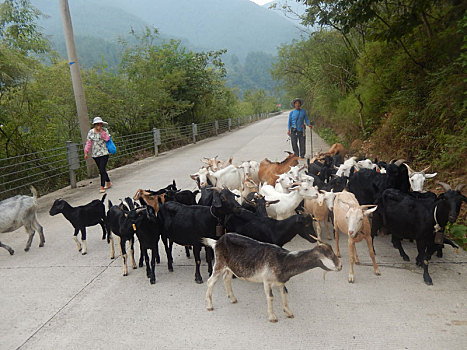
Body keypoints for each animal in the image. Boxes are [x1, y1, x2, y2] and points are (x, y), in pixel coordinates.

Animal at [203, 232, 342, 322]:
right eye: (329, 254)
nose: (340, 266)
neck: (283, 260)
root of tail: (217, 242)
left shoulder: (281, 282)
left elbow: (284, 293)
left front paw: (289, 312)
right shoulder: (267, 281)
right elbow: (270, 297)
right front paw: (272, 317)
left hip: (230, 267)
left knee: (226, 278)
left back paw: (232, 298)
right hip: (219, 263)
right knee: (210, 281)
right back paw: (209, 306)